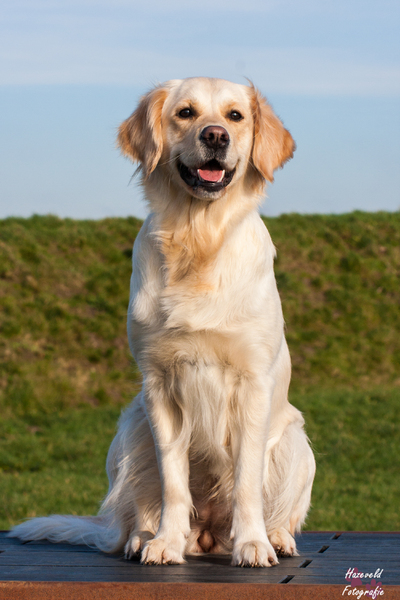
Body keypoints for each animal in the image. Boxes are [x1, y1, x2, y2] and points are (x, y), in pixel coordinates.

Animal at [10, 76, 316, 568]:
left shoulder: (252, 384)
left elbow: (246, 481)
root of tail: (210, 534)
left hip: (295, 442)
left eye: (235, 116)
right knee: (137, 511)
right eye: (186, 113)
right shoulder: (159, 385)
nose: (216, 137)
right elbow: (173, 481)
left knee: (279, 508)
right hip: (131, 429)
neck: (198, 240)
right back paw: (143, 537)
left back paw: (275, 537)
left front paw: (252, 543)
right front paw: (166, 542)